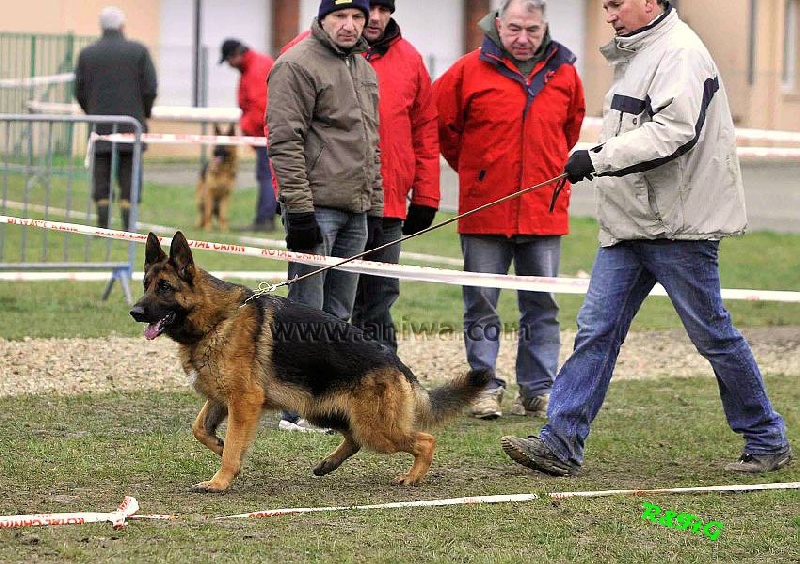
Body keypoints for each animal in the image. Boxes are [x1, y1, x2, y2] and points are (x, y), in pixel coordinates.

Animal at [130, 231, 494, 492]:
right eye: (146, 284)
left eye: (165, 287)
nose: (134, 312)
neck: (216, 319)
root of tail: (398, 365)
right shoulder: (222, 400)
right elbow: (201, 431)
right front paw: (221, 448)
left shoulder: (244, 401)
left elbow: (232, 445)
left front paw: (220, 480)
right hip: (327, 413)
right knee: (355, 440)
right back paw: (328, 464)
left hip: (377, 429)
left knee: (424, 440)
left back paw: (412, 477)